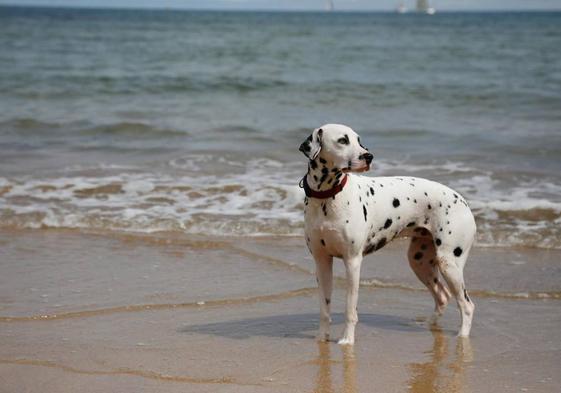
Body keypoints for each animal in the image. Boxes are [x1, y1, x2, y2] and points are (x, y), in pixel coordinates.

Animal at [300, 122, 474, 344]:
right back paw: (431, 327)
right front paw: (322, 338)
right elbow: (324, 308)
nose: (369, 156)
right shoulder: (322, 262)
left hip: (449, 264)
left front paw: (347, 340)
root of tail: (463, 201)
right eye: (342, 140)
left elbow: (350, 310)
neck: (327, 198)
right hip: (420, 261)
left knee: (467, 305)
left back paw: (462, 337)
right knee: (442, 296)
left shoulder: (352, 262)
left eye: (359, 140)